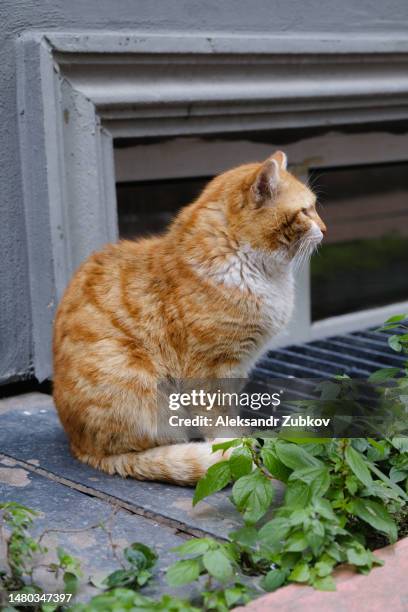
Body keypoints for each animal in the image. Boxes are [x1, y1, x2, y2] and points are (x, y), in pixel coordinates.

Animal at [52, 152, 326, 482]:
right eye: (305, 211)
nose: (326, 229)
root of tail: (80, 448)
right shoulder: (209, 373)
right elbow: (222, 425)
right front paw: (238, 451)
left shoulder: (236, 371)